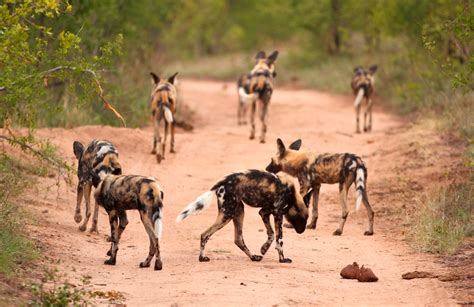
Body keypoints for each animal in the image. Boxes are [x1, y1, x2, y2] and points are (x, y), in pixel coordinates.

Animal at [174, 170, 312, 264]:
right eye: (302, 219)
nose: (301, 231)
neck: (292, 196)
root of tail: (222, 182)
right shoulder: (277, 214)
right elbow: (279, 240)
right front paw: (282, 259)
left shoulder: (264, 212)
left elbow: (271, 234)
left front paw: (264, 249)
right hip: (227, 215)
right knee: (205, 234)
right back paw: (202, 258)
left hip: (239, 211)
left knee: (238, 239)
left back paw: (254, 257)